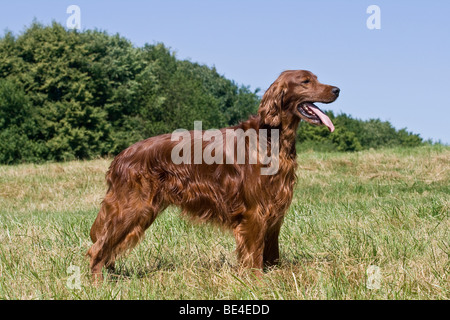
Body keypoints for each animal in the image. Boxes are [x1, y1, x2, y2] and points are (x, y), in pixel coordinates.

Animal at [88, 70, 340, 280]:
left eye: (316, 79)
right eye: (305, 81)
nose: (337, 89)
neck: (272, 137)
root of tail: (120, 157)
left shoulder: (275, 210)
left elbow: (271, 252)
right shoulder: (255, 211)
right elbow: (255, 254)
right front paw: (257, 282)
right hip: (132, 208)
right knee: (97, 249)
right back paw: (99, 285)